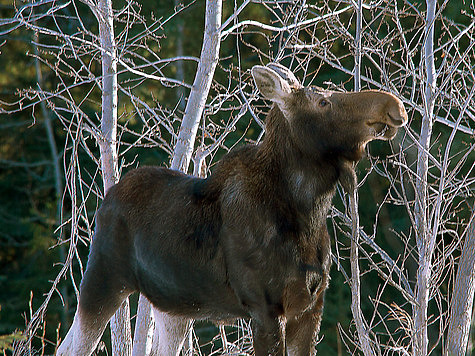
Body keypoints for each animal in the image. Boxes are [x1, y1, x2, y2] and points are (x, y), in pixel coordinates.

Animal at [57, 64, 410, 356]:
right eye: (323, 102)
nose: (394, 106)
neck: (307, 214)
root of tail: (106, 199)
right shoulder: (265, 307)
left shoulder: (310, 307)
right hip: (103, 278)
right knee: (70, 347)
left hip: (174, 307)